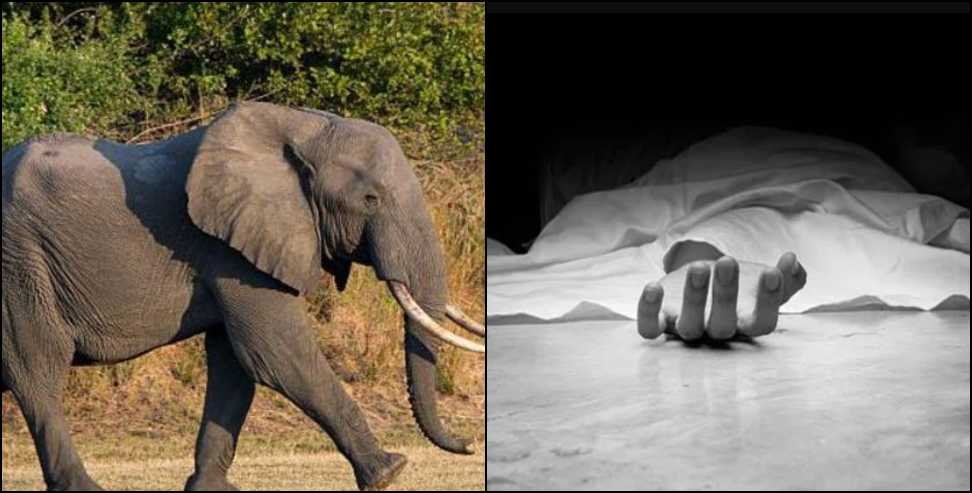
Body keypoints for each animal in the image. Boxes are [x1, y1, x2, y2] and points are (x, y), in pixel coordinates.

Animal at [0, 102, 486, 491]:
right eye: (370, 199)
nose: (469, 444)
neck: (302, 127)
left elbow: (235, 365)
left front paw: (211, 490)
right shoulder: (231, 253)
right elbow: (275, 352)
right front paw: (390, 471)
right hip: (21, 267)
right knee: (40, 374)